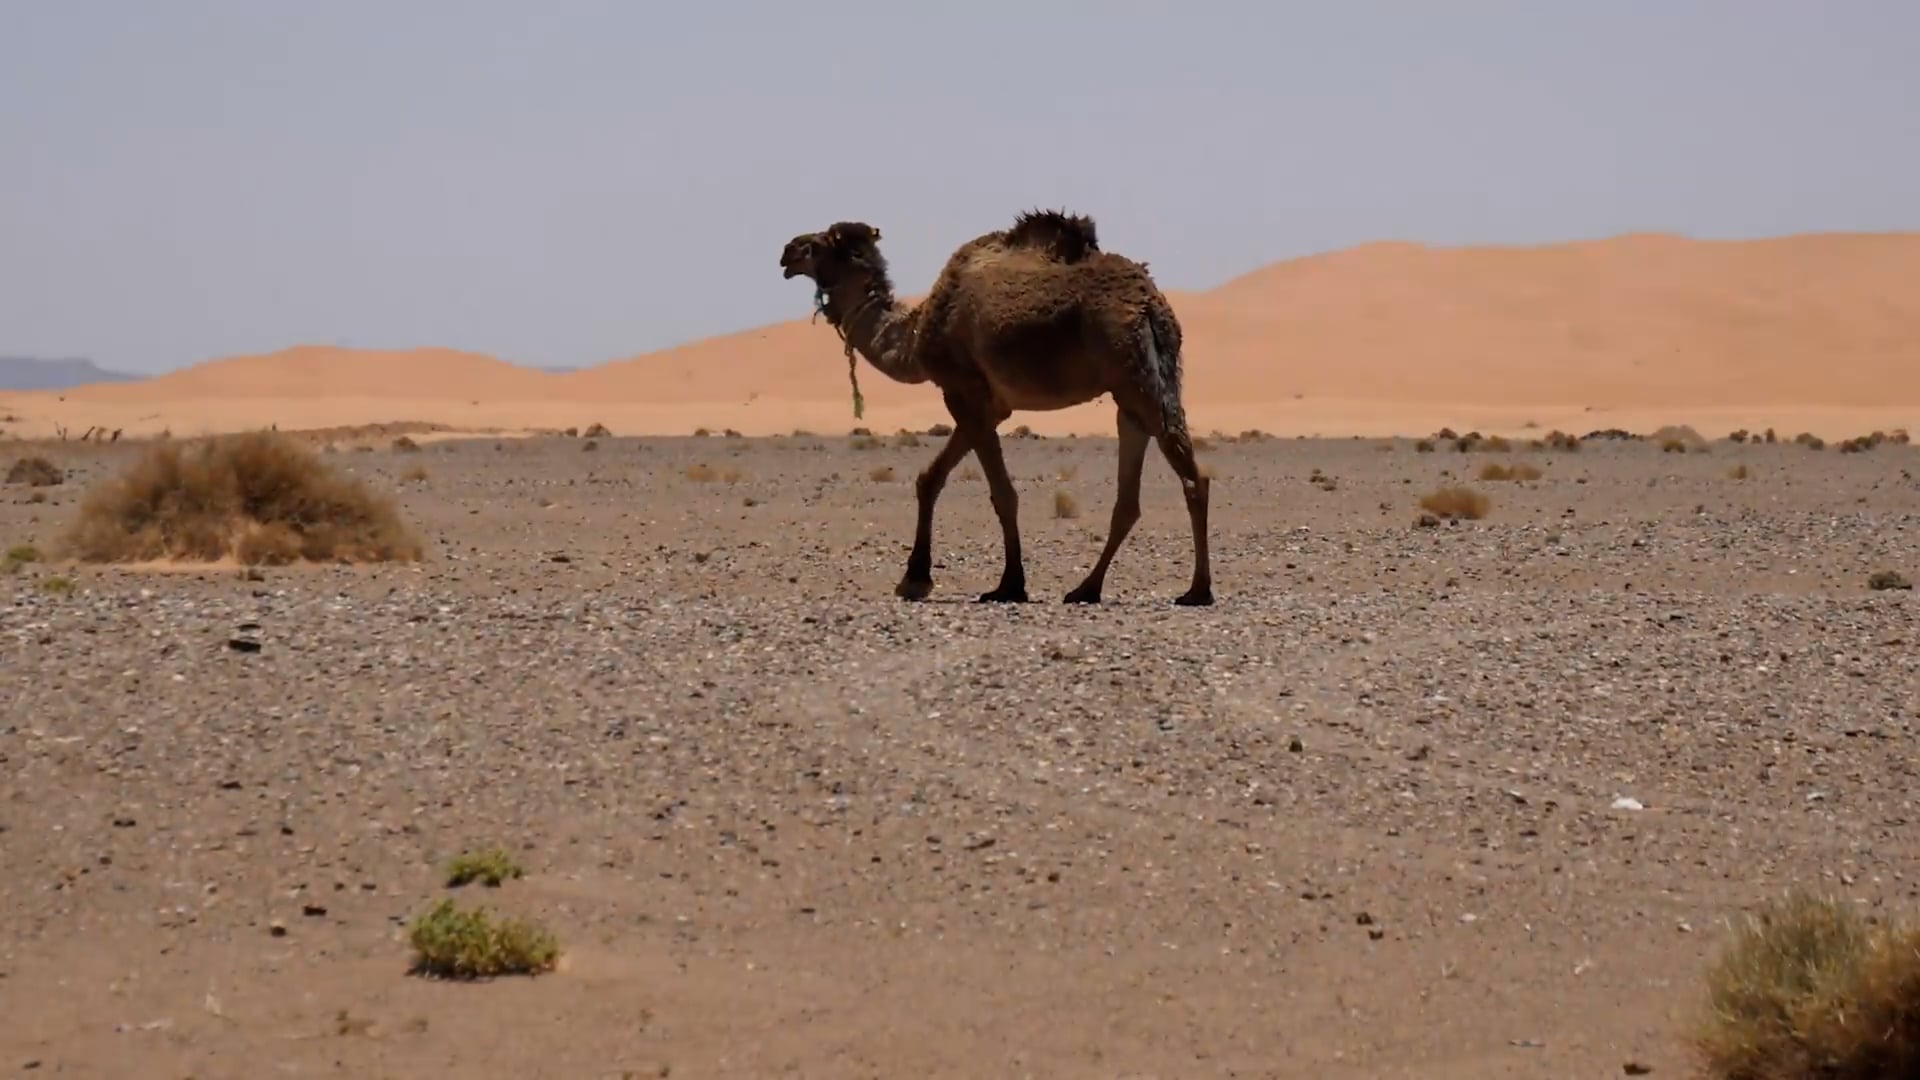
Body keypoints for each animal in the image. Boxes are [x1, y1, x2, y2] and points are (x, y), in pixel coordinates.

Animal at [779, 210, 1212, 607]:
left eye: (821, 243)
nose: (787, 251)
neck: (917, 333)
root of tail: (1150, 304)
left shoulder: (961, 389)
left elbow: (1002, 493)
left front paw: (1008, 585)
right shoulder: (988, 405)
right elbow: (929, 478)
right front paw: (915, 579)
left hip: (1133, 374)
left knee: (1190, 476)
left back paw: (1197, 590)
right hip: (1143, 387)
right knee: (1135, 492)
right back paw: (1087, 589)